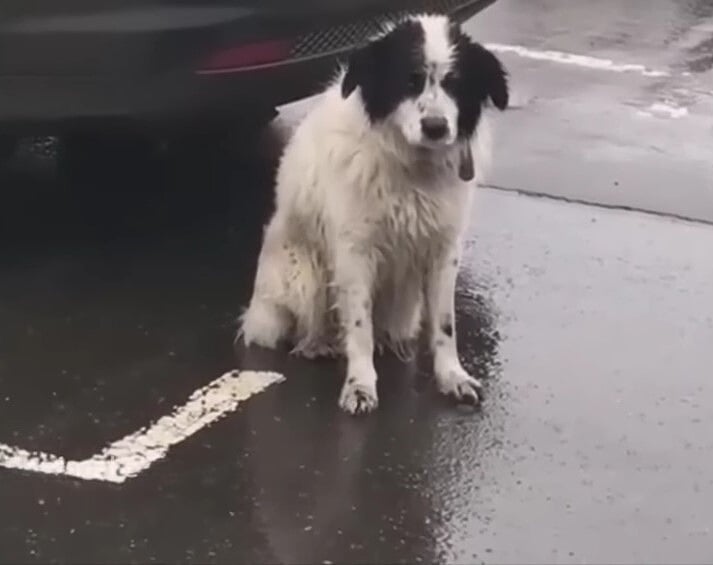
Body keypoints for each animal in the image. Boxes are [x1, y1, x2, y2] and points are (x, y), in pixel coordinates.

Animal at [242, 14, 508, 414]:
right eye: (409, 81)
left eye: (455, 83)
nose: (436, 128)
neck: (413, 168)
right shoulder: (355, 252)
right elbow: (358, 326)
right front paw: (360, 385)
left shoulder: (444, 250)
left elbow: (445, 325)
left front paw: (452, 377)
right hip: (301, 275)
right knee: (307, 323)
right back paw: (316, 344)